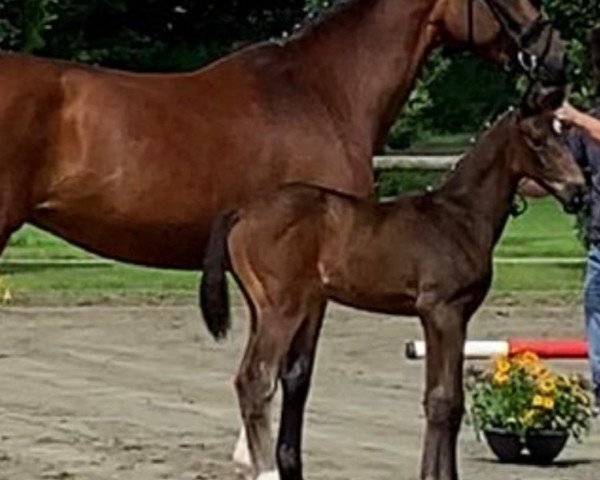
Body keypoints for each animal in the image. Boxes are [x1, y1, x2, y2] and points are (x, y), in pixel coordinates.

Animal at [202, 98, 584, 480]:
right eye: (536, 140)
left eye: (564, 135)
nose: (578, 190)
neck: (460, 216)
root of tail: (241, 212)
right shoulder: (443, 311)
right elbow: (444, 401)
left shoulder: (450, 317)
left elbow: (444, 401)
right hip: (283, 310)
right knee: (255, 380)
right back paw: (266, 471)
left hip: (261, 310)